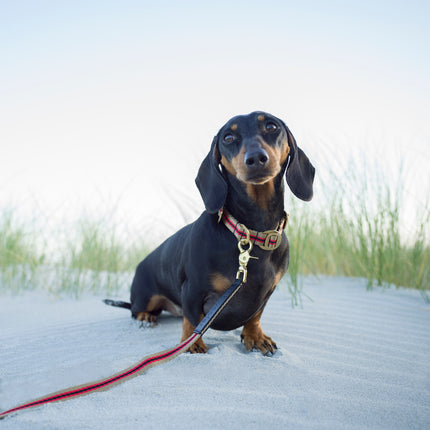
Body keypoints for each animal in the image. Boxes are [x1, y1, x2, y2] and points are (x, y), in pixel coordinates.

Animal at [104, 111, 312, 356]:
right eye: (228, 137)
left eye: (271, 126)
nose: (255, 158)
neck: (252, 232)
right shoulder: (192, 289)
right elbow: (193, 320)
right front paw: (192, 343)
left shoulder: (268, 291)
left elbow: (255, 316)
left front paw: (255, 336)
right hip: (146, 297)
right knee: (138, 310)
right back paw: (145, 316)